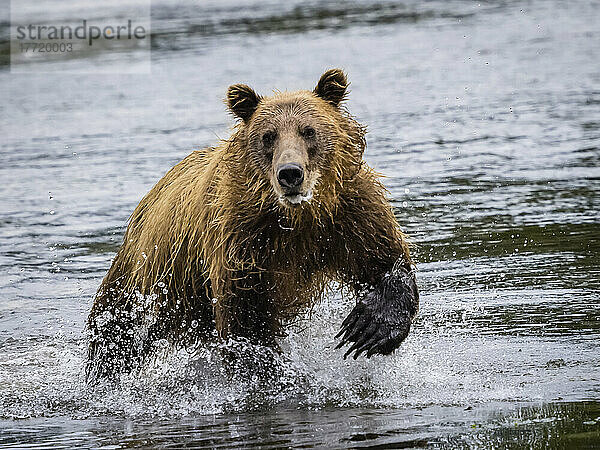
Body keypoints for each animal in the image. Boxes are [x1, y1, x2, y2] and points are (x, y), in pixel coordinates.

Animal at [86, 69, 420, 380]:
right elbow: (244, 318)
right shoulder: (242, 239)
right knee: (114, 332)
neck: (298, 217)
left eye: (309, 131)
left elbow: (385, 259)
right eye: (269, 135)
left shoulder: (349, 213)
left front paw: (368, 328)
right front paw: (270, 369)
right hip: (144, 280)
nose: (290, 173)